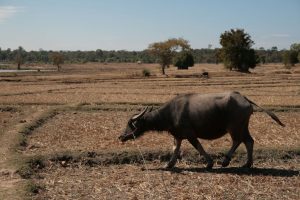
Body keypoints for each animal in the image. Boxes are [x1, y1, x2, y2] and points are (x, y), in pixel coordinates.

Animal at [118, 92, 284, 169]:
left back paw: (225, 161)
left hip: (234, 127)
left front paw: (209, 163)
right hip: (244, 126)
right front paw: (168, 165)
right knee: (249, 141)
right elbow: (175, 149)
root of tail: (244, 98)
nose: (121, 137)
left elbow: (199, 147)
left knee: (237, 140)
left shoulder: (190, 135)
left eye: (131, 124)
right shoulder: (177, 136)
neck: (171, 113)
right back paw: (247, 164)